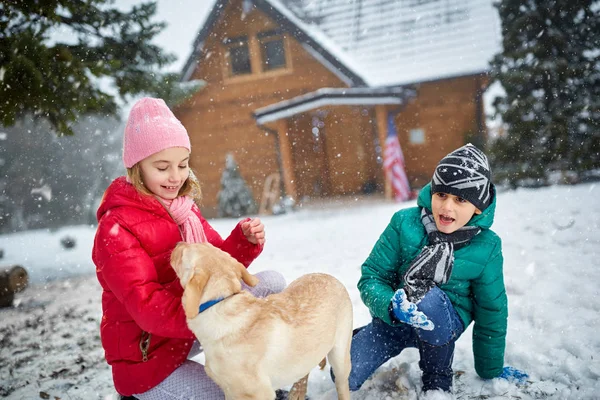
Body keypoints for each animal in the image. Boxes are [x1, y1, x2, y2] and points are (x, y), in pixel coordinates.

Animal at [170, 242, 352, 398]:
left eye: (183, 253)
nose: (178, 243)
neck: (220, 303)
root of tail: (329, 277)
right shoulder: (230, 391)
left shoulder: (260, 393)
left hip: (340, 358)